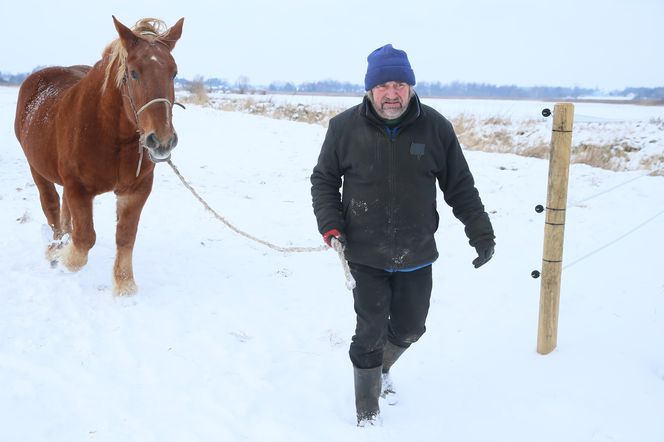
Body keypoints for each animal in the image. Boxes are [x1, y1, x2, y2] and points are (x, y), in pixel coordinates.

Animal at [14, 15, 184, 296]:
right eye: (133, 73)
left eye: (174, 73)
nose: (161, 140)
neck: (110, 134)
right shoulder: (78, 188)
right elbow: (83, 242)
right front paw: (60, 255)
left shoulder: (136, 190)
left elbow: (125, 237)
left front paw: (124, 285)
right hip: (37, 169)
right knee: (52, 208)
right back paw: (56, 244)